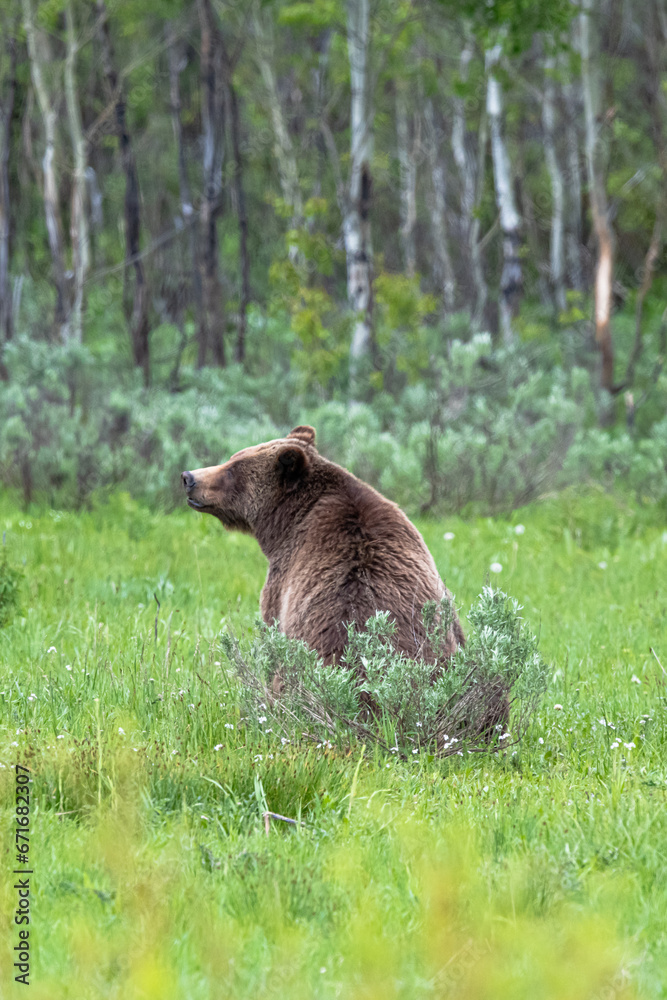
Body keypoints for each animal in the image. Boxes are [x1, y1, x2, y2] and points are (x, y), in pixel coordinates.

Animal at [182, 425, 464, 666]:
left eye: (232, 469)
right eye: (232, 457)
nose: (188, 477)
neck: (285, 522)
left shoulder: (284, 578)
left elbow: (270, 619)